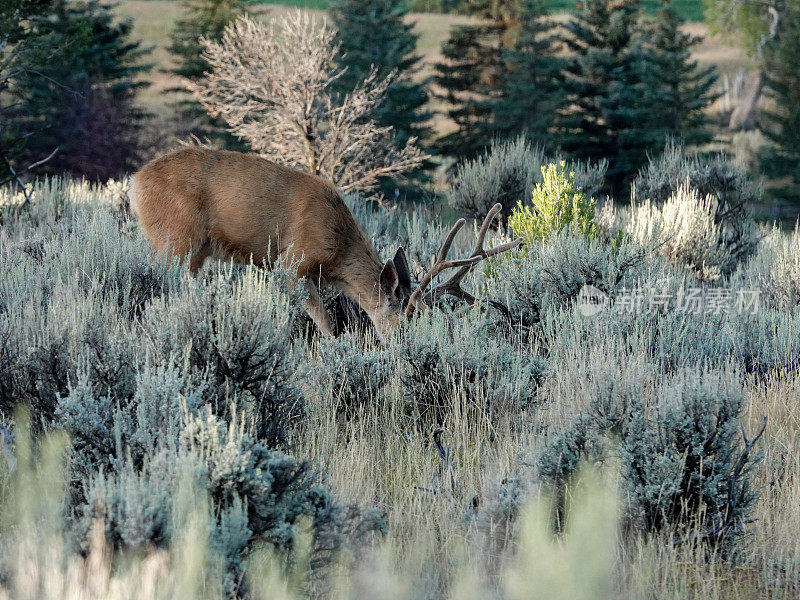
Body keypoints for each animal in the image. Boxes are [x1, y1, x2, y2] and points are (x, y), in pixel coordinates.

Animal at [130, 149, 520, 338]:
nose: (416, 347)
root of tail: (135, 182)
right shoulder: (290, 263)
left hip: (195, 252)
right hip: (174, 238)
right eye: (405, 320)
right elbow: (325, 321)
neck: (337, 251)